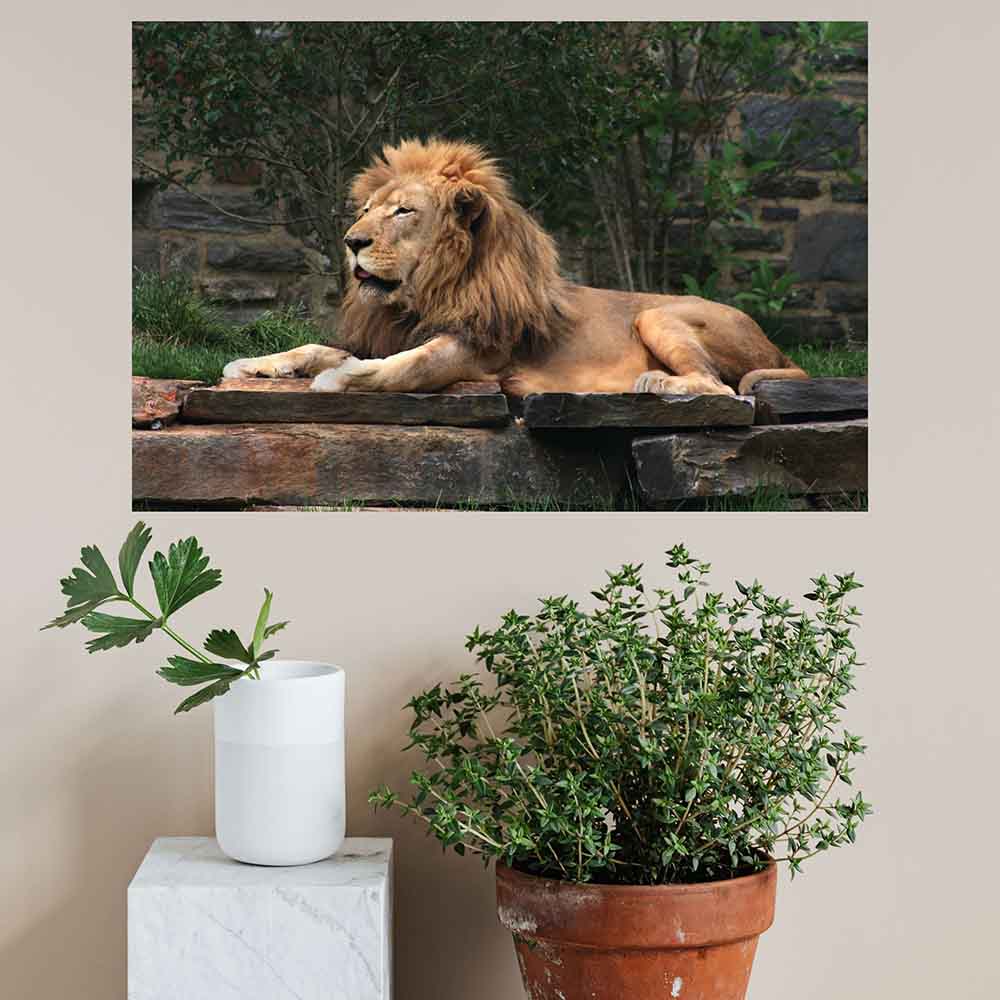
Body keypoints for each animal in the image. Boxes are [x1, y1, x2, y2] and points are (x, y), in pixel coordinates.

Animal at [223, 138, 808, 398]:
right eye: (365, 210)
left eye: (404, 211)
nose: (351, 242)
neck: (424, 294)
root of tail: (777, 348)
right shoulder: (390, 331)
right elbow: (314, 347)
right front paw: (255, 364)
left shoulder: (478, 351)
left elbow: (407, 366)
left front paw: (339, 378)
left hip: (658, 316)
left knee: (720, 387)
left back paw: (654, 382)